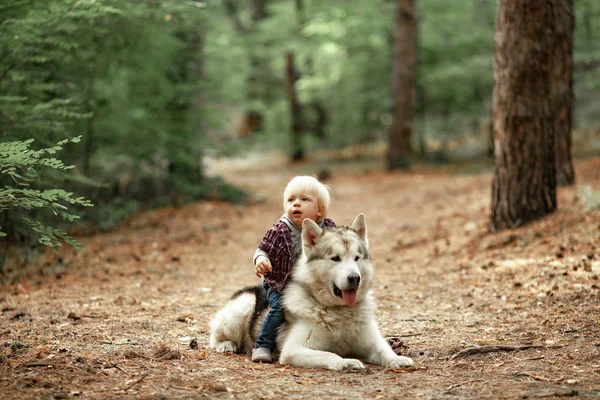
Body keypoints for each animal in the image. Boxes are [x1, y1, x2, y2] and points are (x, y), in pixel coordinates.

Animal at [210, 216, 412, 372]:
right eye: (335, 258)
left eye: (357, 258)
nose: (355, 278)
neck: (339, 311)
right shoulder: (294, 350)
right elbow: (330, 354)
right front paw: (346, 362)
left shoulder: (369, 342)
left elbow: (383, 350)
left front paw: (397, 358)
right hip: (242, 307)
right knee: (215, 335)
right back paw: (227, 344)